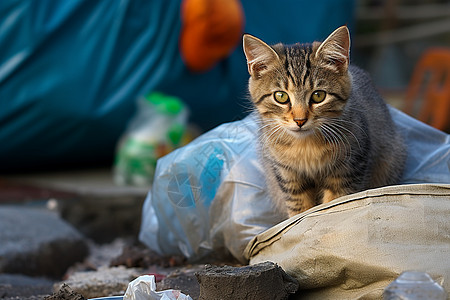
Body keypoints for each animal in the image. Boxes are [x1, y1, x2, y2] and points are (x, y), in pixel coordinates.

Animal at [244, 26, 406, 218]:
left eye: (318, 95)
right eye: (281, 96)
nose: (300, 120)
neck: (306, 146)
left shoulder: (349, 169)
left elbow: (333, 206)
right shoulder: (287, 175)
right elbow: (299, 211)